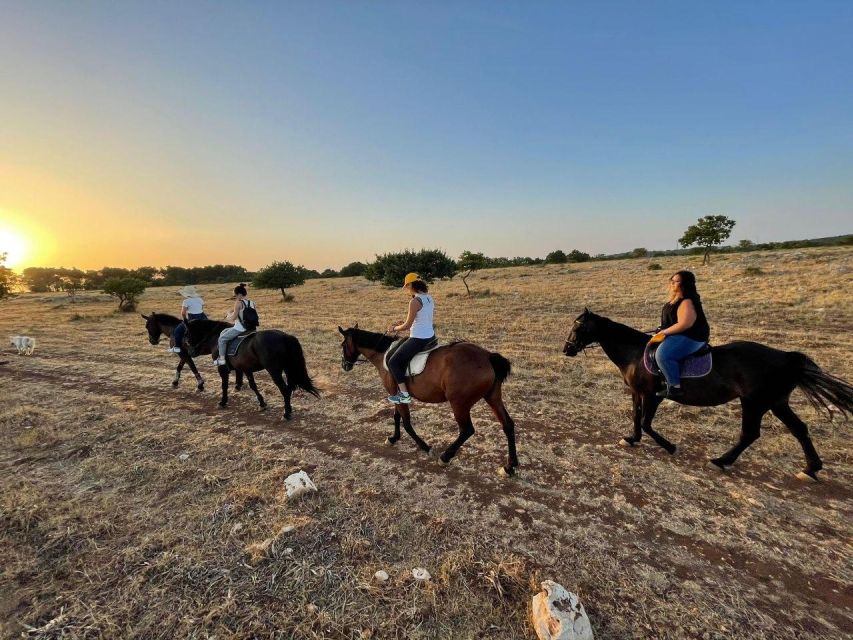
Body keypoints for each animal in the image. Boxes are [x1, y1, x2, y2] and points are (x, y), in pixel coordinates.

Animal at [186, 320, 320, 420]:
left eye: (187, 333)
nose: (189, 351)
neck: (216, 337)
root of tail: (285, 337)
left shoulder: (222, 369)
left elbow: (224, 386)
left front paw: (223, 402)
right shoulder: (246, 369)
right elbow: (253, 386)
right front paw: (262, 404)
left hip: (274, 371)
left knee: (285, 389)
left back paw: (286, 414)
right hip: (287, 369)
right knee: (290, 388)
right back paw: (288, 410)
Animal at [336, 324, 516, 476]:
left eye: (343, 345)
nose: (345, 365)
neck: (383, 354)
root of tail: (487, 357)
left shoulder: (397, 394)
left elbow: (407, 423)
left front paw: (426, 447)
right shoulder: (396, 394)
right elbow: (396, 416)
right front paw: (393, 438)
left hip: (459, 404)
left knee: (467, 430)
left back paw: (445, 457)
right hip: (492, 397)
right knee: (507, 425)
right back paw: (510, 467)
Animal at [560, 308, 852, 480]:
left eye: (578, 327)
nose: (567, 349)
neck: (635, 352)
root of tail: (786, 357)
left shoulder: (654, 394)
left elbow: (646, 422)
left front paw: (670, 446)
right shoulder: (637, 392)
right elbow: (636, 418)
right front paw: (631, 439)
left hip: (755, 402)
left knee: (750, 433)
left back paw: (721, 461)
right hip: (776, 402)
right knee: (799, 429)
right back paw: (811, 468)